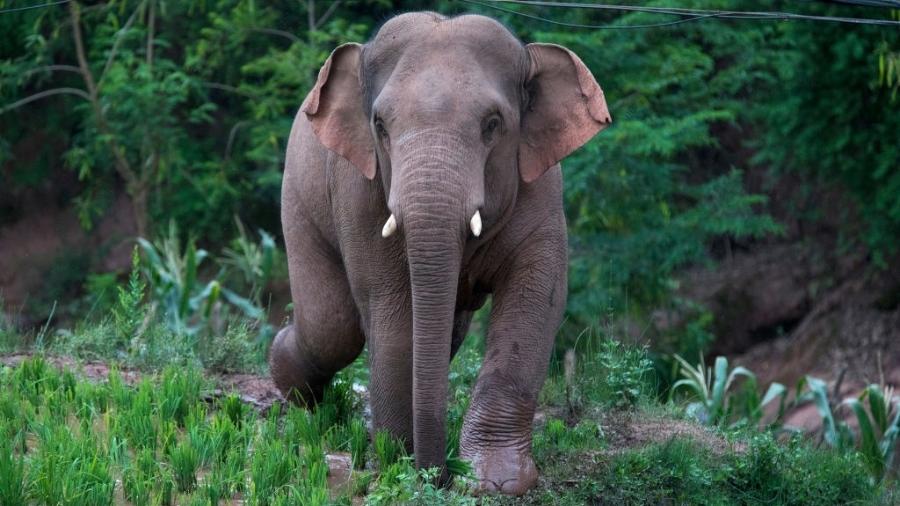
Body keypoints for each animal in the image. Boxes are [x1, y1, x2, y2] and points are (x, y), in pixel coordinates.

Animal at [268, 10, 612, 494]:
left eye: (492, 124)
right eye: (379, 125)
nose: (439, 476)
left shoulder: (542, 189)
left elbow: (537, 295)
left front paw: (494, 481)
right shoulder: (358, 193)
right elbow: (391, 307)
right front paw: (398, 463)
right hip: (297, 203)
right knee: (333, 327)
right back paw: (292, 383)